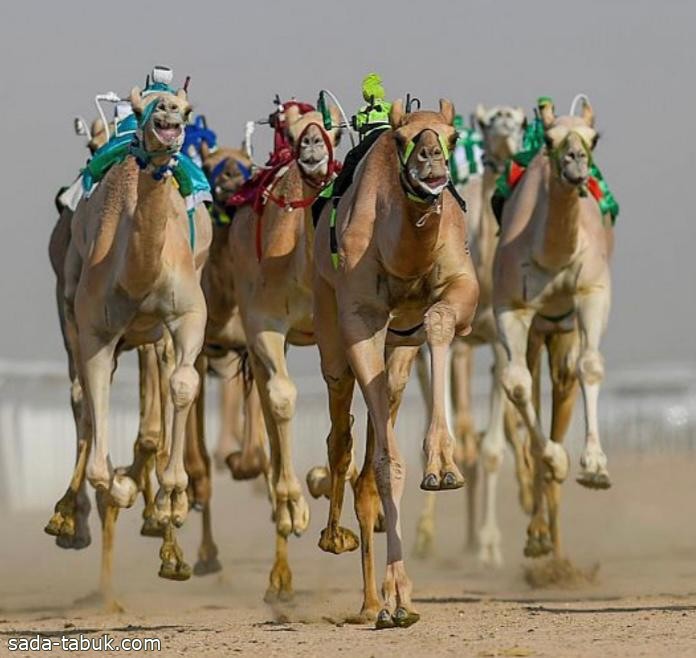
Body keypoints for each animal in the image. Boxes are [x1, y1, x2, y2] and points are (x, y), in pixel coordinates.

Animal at [314, 98, 482, 624]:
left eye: (452, 135)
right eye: (404, 138)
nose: (432, 160)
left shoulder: (462, 284)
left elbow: (440, 320)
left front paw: (444, 466)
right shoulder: (359, 318)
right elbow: (388, 464)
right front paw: (399, 598)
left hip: (400, 346)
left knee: (385, 399)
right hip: (328, 323)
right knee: (342, 426)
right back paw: (344, 550)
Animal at [414, 105, 528, 560]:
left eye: (520, 119)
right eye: (489, 120)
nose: (508, 133)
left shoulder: (498, 342)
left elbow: (493, 448)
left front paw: (489, 546)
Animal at [492, 97, 612, 560]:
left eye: (594, 137)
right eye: (549, 139)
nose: (576, 162)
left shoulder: (592, 291)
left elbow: (590, 366)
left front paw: (594, 466)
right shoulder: (511, 307)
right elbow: (517, 387)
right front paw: (558, 460)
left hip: (561, 329)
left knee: (564, 383)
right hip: (538, 330)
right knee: (534, 390)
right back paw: (540, 535)